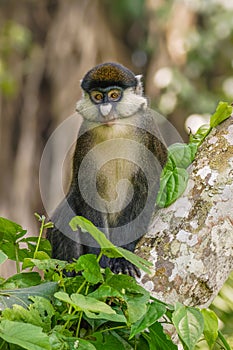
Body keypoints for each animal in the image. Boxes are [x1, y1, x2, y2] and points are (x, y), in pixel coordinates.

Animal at [46, 62, 167, 276]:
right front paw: (100, 262)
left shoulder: (148, 135)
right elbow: (85, 193)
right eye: (97, 97)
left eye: (113, 95)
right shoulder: (84, 138)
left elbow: (145, 189)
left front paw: (123, 258)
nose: (104, 110)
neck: (115, 130)